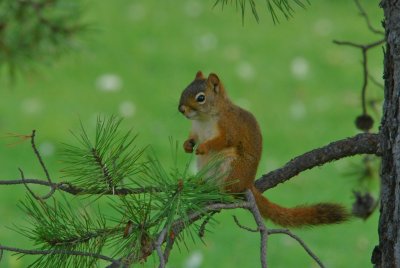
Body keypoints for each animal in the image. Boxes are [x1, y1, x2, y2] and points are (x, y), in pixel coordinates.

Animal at [179, 71, 350, 226]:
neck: (204, 119)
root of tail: (248, 183)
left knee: (231, 191)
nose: (181, 109)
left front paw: (203, 146)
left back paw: (220, 192)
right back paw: (199, 183)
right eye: (184, 89)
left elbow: (223, 141)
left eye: (201, 98)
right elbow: (193, 138)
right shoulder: (196, 130)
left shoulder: (230, 128)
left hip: (231, 166)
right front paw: (187, 145)